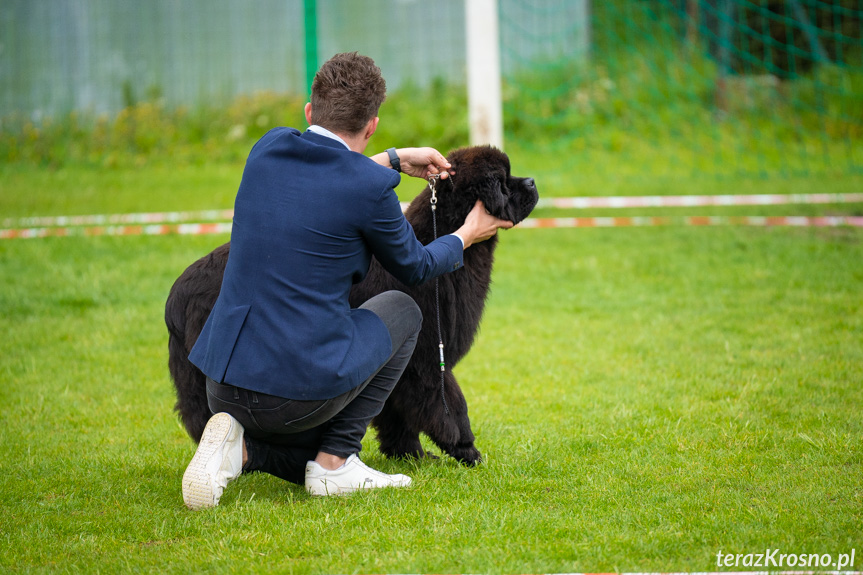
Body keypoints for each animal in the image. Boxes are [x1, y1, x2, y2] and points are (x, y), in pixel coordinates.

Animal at [165, 145, 536, 468]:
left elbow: (398, 417)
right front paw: (467, 452)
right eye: (504, 180)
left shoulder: (408, 372)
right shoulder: (428, 360)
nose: (532, 182)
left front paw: (411, 455)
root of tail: (177, 293)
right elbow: (451, 408)